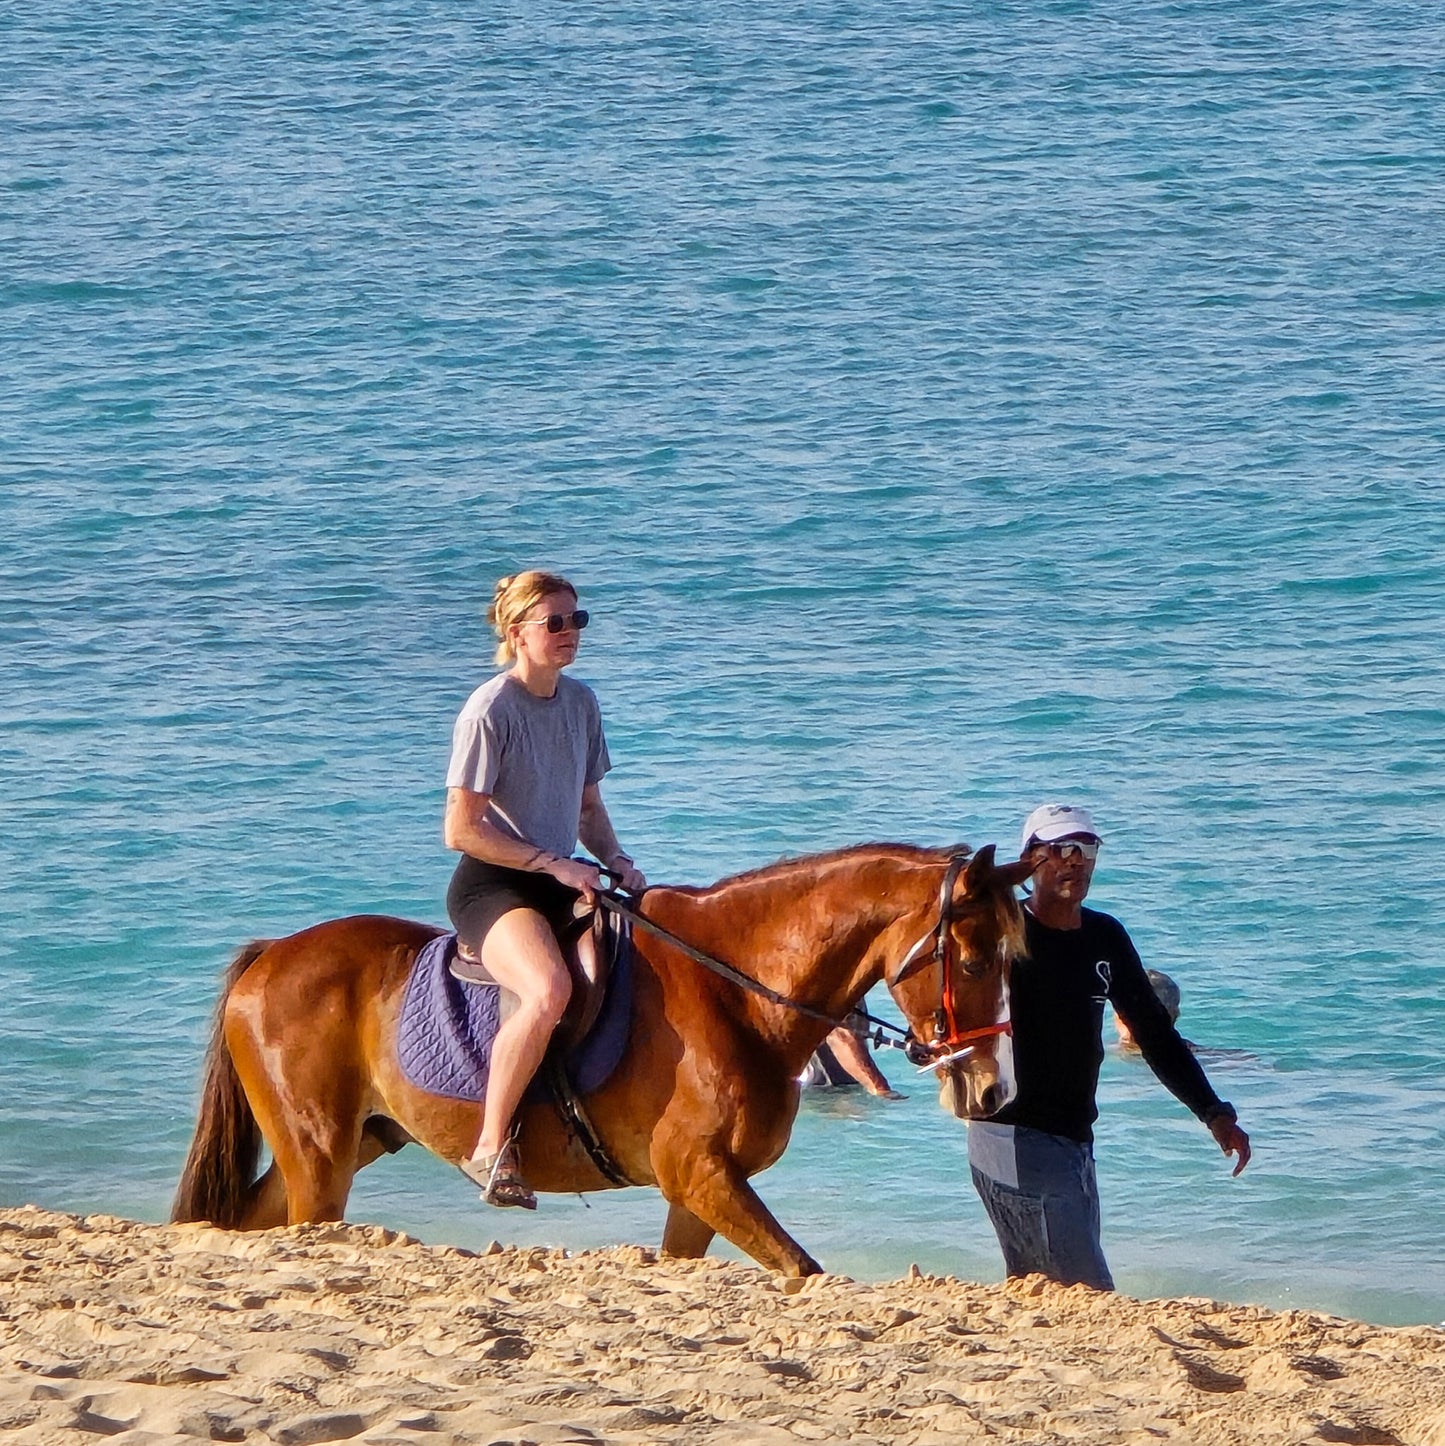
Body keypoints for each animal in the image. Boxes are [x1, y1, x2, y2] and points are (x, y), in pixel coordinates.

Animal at [172, 842, 1035, 1277]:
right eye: (972, 958)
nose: (991, 1090)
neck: (735, 988)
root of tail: (270, 957)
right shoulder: (699, 1174)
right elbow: (802, 1271)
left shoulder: (701, 1189)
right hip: (319, 1160)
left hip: (348, 1147)